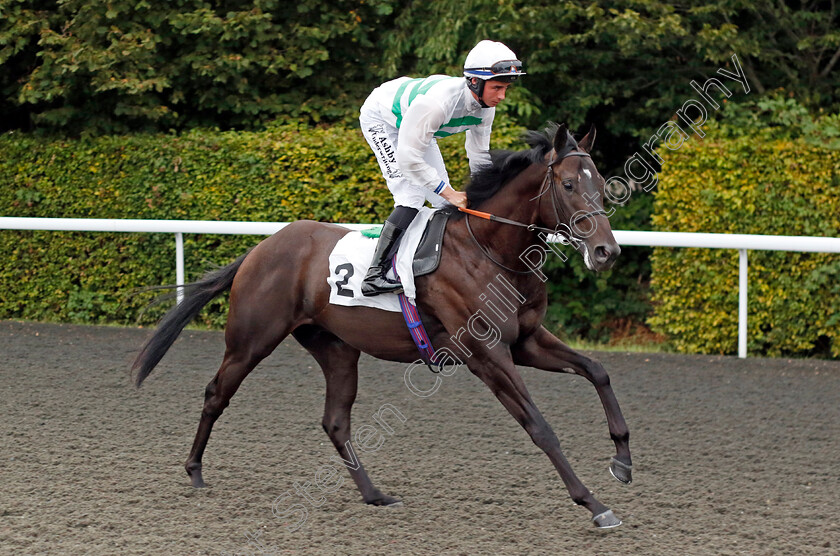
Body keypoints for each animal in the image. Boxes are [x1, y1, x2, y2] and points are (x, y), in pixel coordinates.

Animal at [133, 122, 632, 528]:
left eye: (602, 185)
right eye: (569, 184)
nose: (607, 252)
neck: (489, 250)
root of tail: (262, 247)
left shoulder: (526, 341)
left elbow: (598, 371)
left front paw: (623, 461)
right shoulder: (486, 354)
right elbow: (540, 426)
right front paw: (593, 503)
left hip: (336, 347)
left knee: (335, 422)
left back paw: (375, 495)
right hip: (251, 339)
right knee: (216, 393)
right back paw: (195, 472)